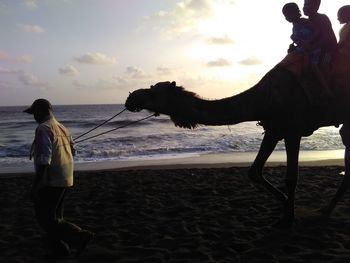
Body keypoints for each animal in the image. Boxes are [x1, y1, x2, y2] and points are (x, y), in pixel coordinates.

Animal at [124, 65, 350, 228]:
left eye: (153, 92)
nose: (130, 98)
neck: (262, 98)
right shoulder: (273, 129)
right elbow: (254, 172)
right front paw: (285, 204)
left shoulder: (292, 129)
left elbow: (291, 178)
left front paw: (288, 217)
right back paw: (325, 210)